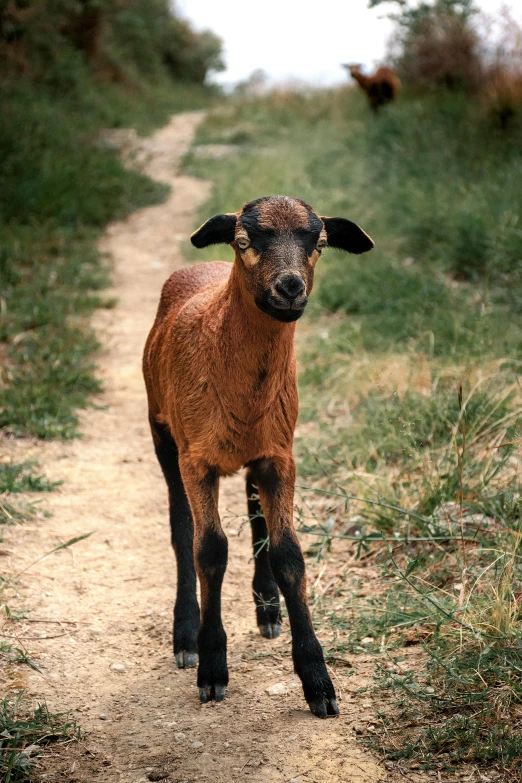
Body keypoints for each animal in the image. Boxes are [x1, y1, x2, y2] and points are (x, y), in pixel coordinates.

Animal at [140, 194, 372, 716]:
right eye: (244, 242)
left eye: (320, 244)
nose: (290, 287)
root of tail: (201, 267)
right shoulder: (196, 460)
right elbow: (208, 549)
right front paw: (211, 667)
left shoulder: (280, 456)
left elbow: (288, 553)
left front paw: (317, 681)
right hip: (163, 432)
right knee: (180, 529)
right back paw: (185, 634)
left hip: (257, 451)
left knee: (255, 515)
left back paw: (267, 609)